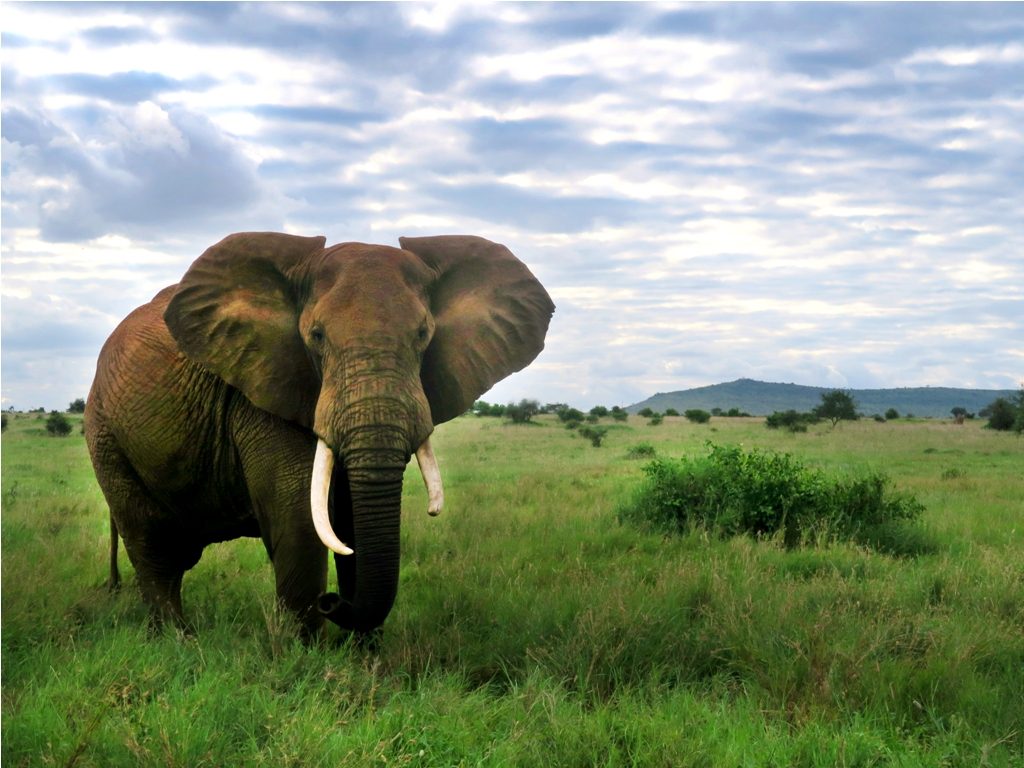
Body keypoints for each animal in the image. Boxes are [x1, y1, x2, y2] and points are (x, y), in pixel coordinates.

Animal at [83, 231, 557, 638]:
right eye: (316, 336)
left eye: (424, 335)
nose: (332, 603)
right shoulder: (266, 384)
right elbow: (299, 515)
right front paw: (307, 657)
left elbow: (350, 519)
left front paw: (365, 657)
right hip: (105, 433)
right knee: (152, 545)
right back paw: (180, 641)